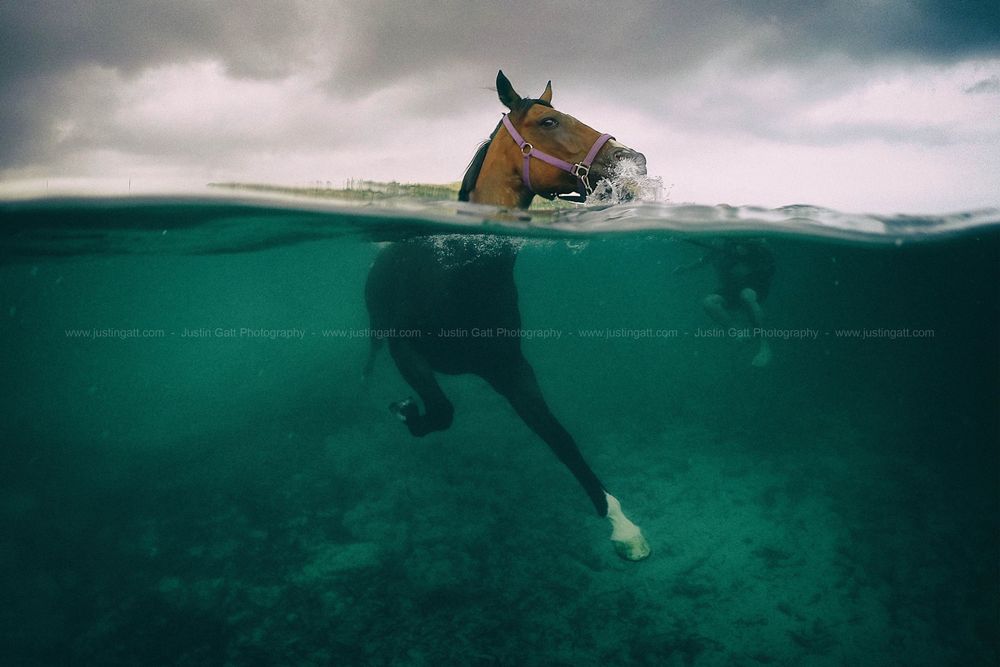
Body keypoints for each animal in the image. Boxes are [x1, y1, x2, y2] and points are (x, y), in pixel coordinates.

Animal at [364, 70, 650, 560]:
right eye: (549, 121)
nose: (636, 161)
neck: (459, 277)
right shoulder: (407, 351)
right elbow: (441, 411)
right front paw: (405, 410)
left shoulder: (510, 369)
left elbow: (560, 437)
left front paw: (622, 524)